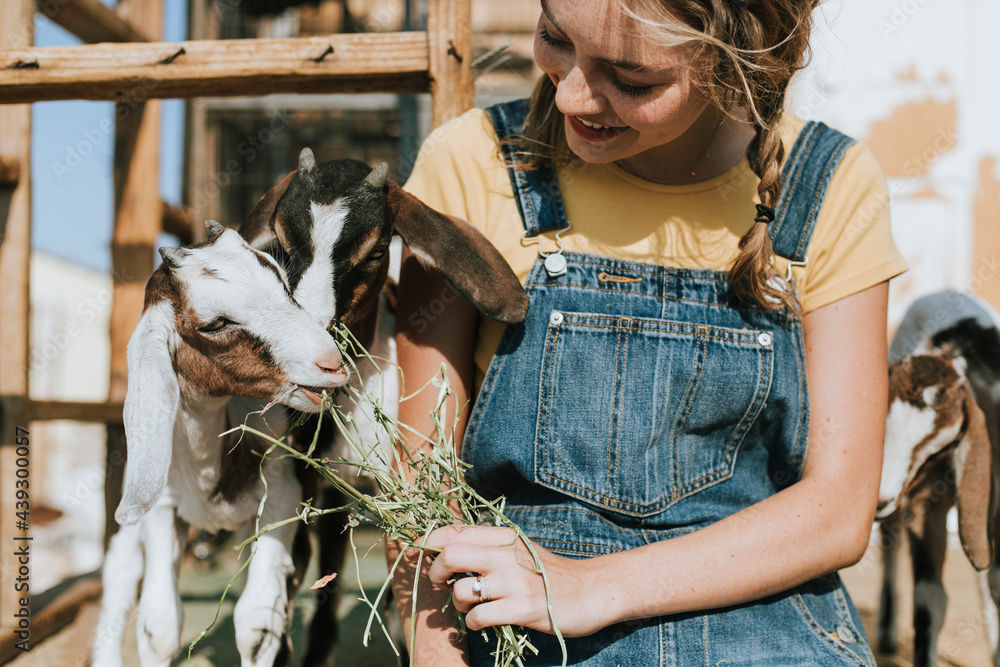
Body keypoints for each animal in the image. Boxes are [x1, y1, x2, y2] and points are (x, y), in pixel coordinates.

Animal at [90, 224, 350, 667]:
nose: (331, 363)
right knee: (120, 568)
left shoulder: (280, 499)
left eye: (281, 280)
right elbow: (159, 624)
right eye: (216, 323)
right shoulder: (162, 505)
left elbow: (257, 624)